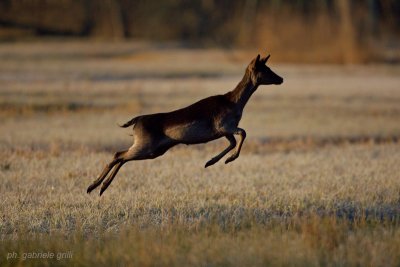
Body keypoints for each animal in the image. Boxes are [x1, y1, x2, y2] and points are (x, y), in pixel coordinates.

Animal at [86, 54, 284, 197]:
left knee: (122, 157)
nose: (281, 78)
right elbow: (243, 133)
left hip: (154, 150)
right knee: (118, 155)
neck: (235, 103)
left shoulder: (224, 131)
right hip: (146, 145)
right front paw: (227, 159)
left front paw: (211, 162)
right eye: (266, 69)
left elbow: (233, 142)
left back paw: (100, 188)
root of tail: (135, 122)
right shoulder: (224, 125)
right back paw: (93, 186)